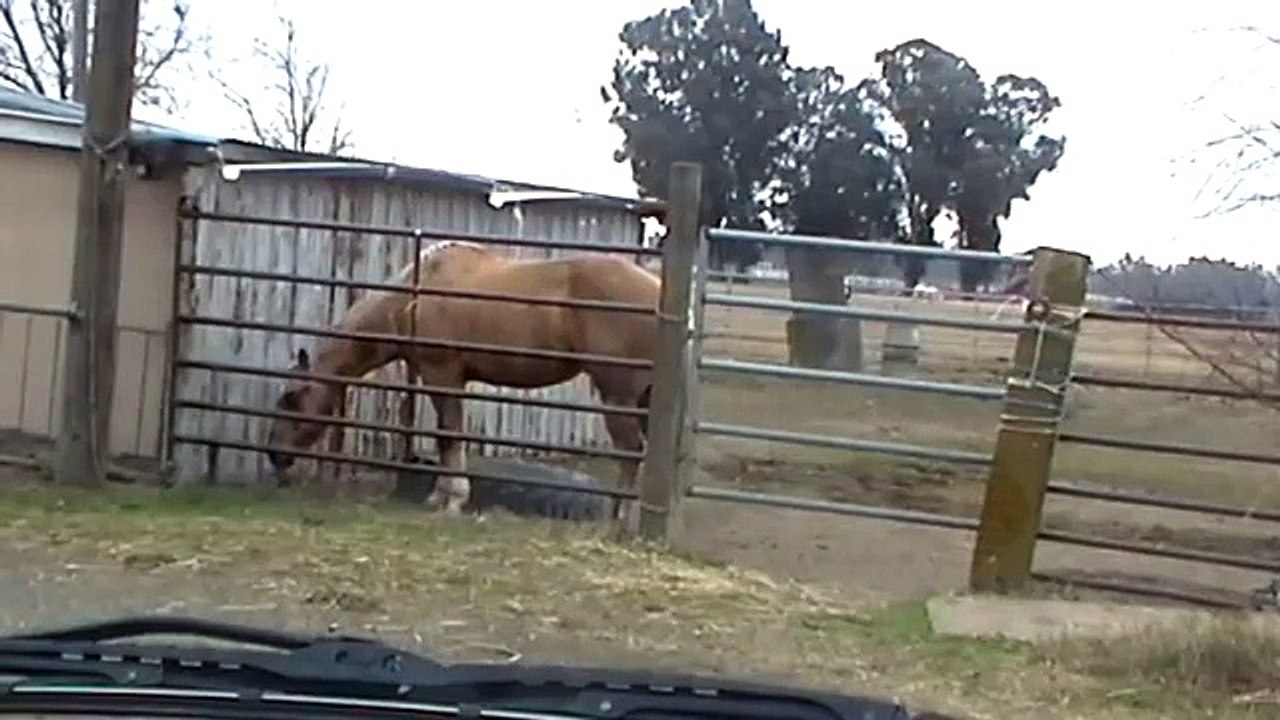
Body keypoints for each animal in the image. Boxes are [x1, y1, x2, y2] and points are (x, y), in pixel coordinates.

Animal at [263, 240, 660, 520]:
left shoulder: (443, 373)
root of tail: (658, 289)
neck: (412, 297)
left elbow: (449, 434)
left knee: (631, 450)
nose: (274, 454)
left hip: (618, 395)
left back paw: (620, 517)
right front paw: (441, 495)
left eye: (291, 398)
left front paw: (452, 499)